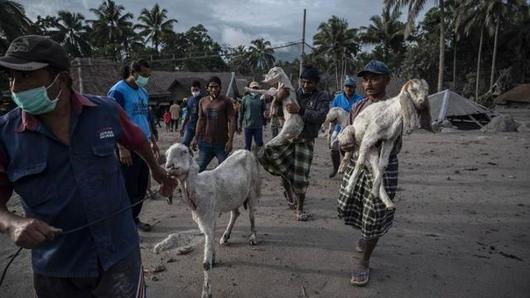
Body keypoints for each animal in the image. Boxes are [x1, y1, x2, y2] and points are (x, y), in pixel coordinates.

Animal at [338, 79, 428, 210]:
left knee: (374, 166)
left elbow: (383, 165)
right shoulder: (369, 137)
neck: (394, 114)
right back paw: (343, 166)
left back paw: (386, 200)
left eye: (427, 91)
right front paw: (349, 188)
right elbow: (359, 163)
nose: (422, 103)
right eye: (413, 90)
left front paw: (375, 191)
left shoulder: (389, 140)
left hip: (373, 150)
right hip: (349, 133)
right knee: (350, 151)